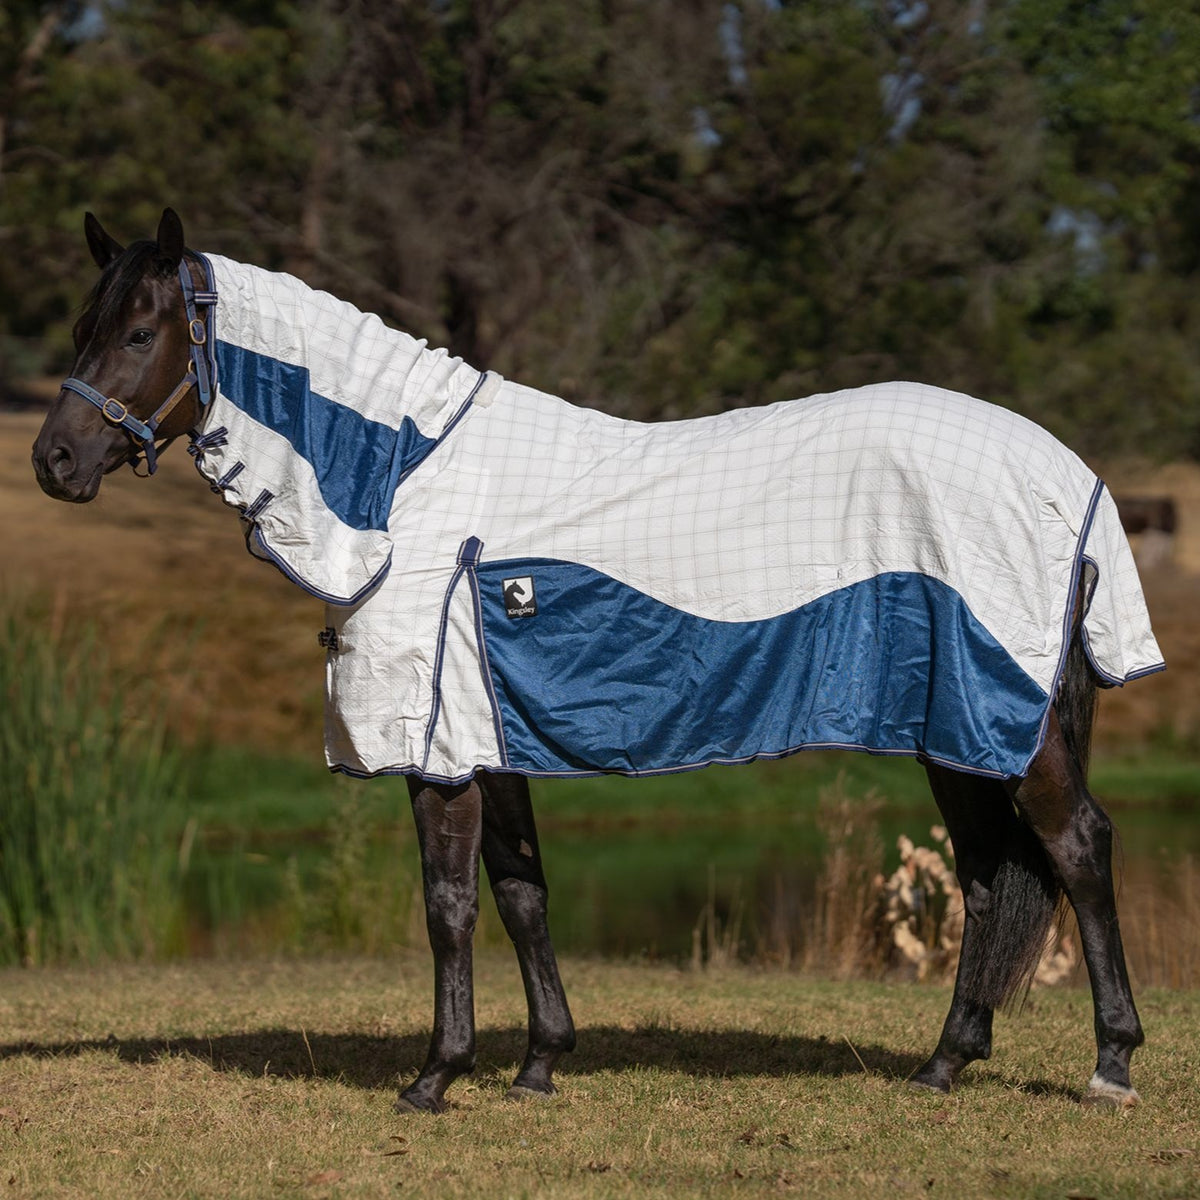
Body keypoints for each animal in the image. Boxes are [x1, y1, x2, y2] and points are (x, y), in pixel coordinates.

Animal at [32, 209, 1163, 1112]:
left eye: (140, 331)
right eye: (84, 327)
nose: (53, 461)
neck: (404, 481)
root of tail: (1074, 475)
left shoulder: (437, 751)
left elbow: (449, 905)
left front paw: (437, 1075)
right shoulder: (489, 740)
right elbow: (523, 892)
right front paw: (540, 1063)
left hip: (1006, 725)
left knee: (1077, 848)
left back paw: (1110, 1065)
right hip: (956, 731)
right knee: (987, 877)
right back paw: (943, 1063)